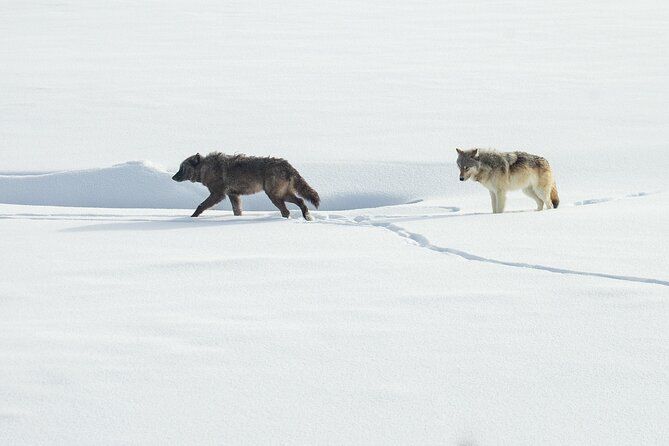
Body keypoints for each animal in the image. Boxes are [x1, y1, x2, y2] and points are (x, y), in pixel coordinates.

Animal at [172, 152, 320, 220]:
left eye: (182, 168)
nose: (173, 177)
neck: (206, 168)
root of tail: (287, 165)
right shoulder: (233, 195)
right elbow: (237, 211)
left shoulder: (217, 194)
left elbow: (201, 206)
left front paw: (192, 218)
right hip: (282, 194)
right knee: (300, 201)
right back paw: (307, 217)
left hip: (275, 196)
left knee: (287, 210)